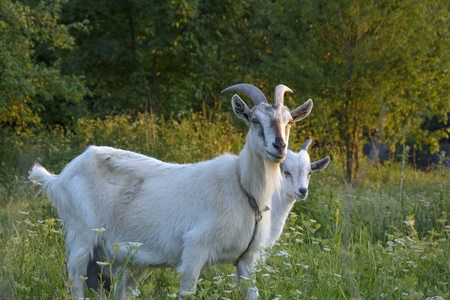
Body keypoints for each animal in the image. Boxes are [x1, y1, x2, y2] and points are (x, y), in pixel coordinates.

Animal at [29, 83, 314, 298]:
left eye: (289, 122)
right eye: (255, 120)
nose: (279, 146)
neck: (242, 188)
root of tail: (59, 177)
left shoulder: (247, 261)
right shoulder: (194, 250)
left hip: (116, 259)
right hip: (81, 236)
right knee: (75, 281)